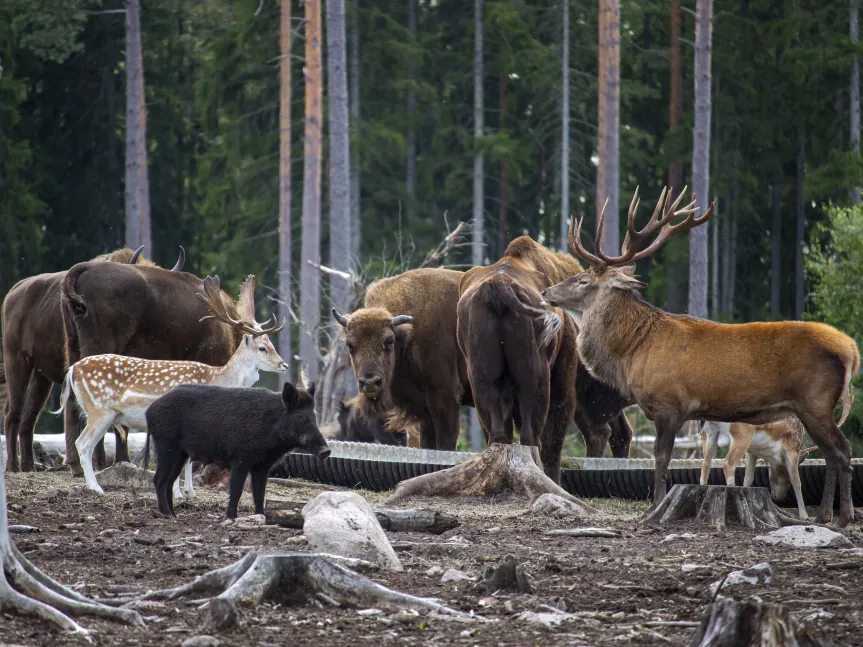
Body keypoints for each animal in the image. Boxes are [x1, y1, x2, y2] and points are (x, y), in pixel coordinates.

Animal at [1, 246, 184, 474]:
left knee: (30, 416)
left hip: (41, 376)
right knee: (12, 412)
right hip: (17, 360)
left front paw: (117, 460)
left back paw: (30, 465)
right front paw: (105, 461)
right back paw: (14, 466)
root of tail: (14, 292)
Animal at [52, 274, 286, 496]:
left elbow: (190, 459)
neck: (217, 378)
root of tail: (72, 370)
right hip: (100, 410)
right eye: (263, 348)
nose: (283, 365)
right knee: (83, 444)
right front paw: (179, 493)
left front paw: (190, 492)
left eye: (272, 344)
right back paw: (96, 488)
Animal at [147, 384, 330, 516]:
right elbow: (237, 490)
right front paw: (231, 517)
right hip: (166, 446)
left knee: (169, 481)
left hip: (180, 454)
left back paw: (173, 514)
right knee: (159, 479)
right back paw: (167, 515)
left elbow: (259, 494)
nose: (326, 451)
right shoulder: (240, 459)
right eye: (300, 417)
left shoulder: (262, 467)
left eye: (314, 417)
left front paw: (261, 516)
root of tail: (150, 410)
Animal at [332, 268, 472, 450]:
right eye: (350, 345)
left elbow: (445, 442)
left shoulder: (445, 397)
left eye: (389, 341)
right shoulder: (425, 409)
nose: (370, 382)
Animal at [544, 186, 860, 528]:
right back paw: (825, 515)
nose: (547, 292)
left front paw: (654, 508)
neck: (633, 352)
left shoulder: (669, 404)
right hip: (811, 408)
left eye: (583, 279)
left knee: (841, 450)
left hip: (814, 401)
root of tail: (850, 350)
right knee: (830, 453)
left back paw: (842, 517)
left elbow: (661, 458)